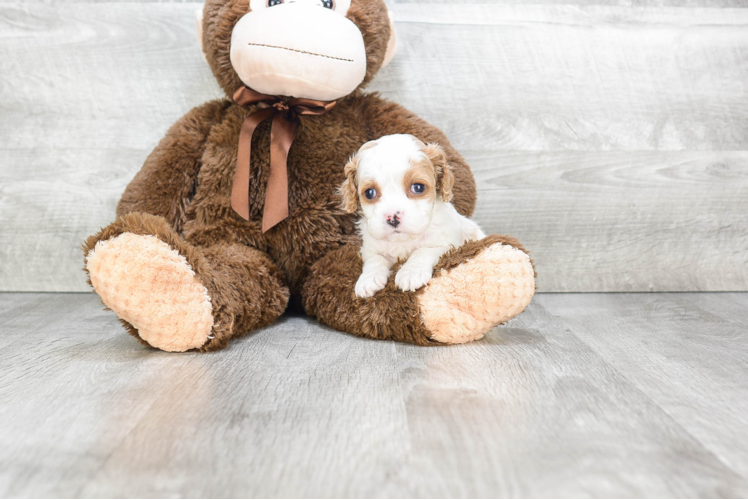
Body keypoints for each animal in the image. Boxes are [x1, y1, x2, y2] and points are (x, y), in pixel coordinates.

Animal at [338, 134, 486, 296]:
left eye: (418, 187)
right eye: (370, 193)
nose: (392, 217)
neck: (404, 240)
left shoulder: (449, 245)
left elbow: (423, 251)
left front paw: (410, 274)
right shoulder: (370, 248)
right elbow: (375, 259)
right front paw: (368, 279)